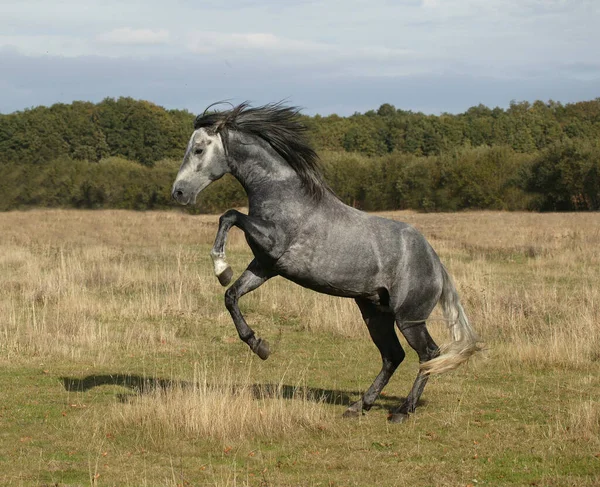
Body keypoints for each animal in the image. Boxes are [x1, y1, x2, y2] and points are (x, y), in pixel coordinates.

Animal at [171, 103, 480, 424]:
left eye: (198, 149)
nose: (178, 192)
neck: (283, 192)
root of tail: (436, 263)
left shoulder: (273, 243)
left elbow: (229, 215)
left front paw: (221, 267)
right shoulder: (266, 265)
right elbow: (231, 295)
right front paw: (260, 345)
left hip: (410, 319)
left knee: (428, 354)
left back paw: (402, 411)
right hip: (375, 313)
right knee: (393, 356)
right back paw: (359, 406)